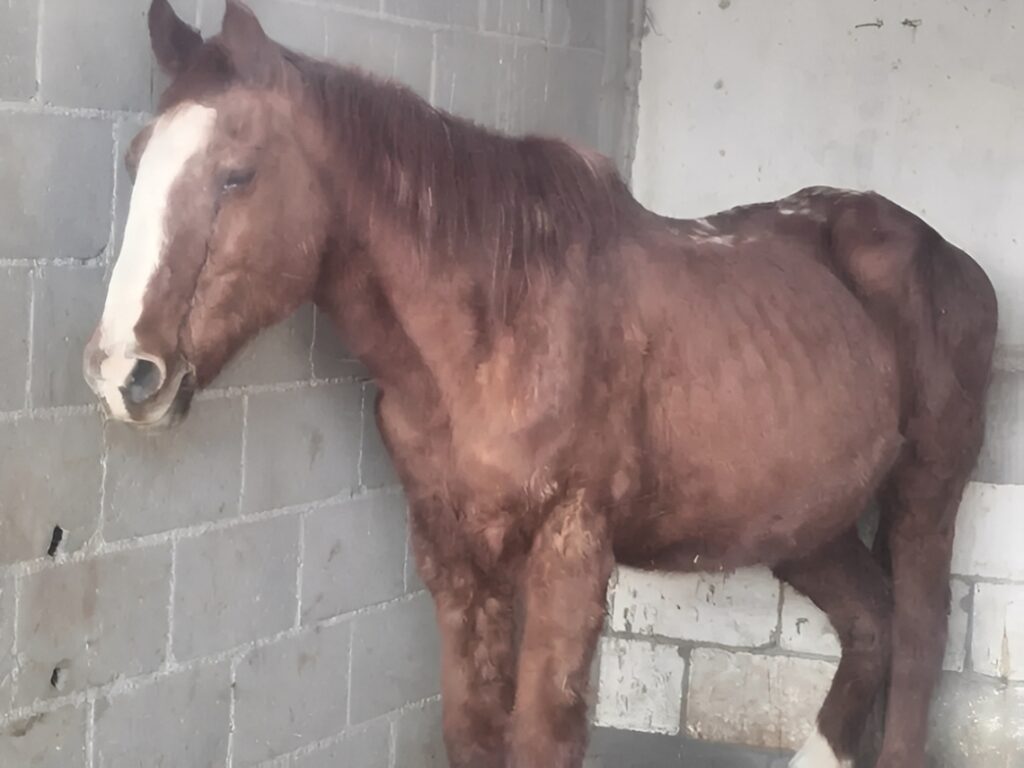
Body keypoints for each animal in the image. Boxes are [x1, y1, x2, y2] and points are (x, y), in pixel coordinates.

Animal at [82, 2, 998, 766]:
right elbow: (470, 731)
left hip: (925, 493)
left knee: (919, 638)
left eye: (236, 174)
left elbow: (540, 738)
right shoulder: (452, 552)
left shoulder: (569, 550)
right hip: (809, 517)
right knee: (873, 625)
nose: (125, 371)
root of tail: (946, 254)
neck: (497, 322)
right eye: (131, 161)